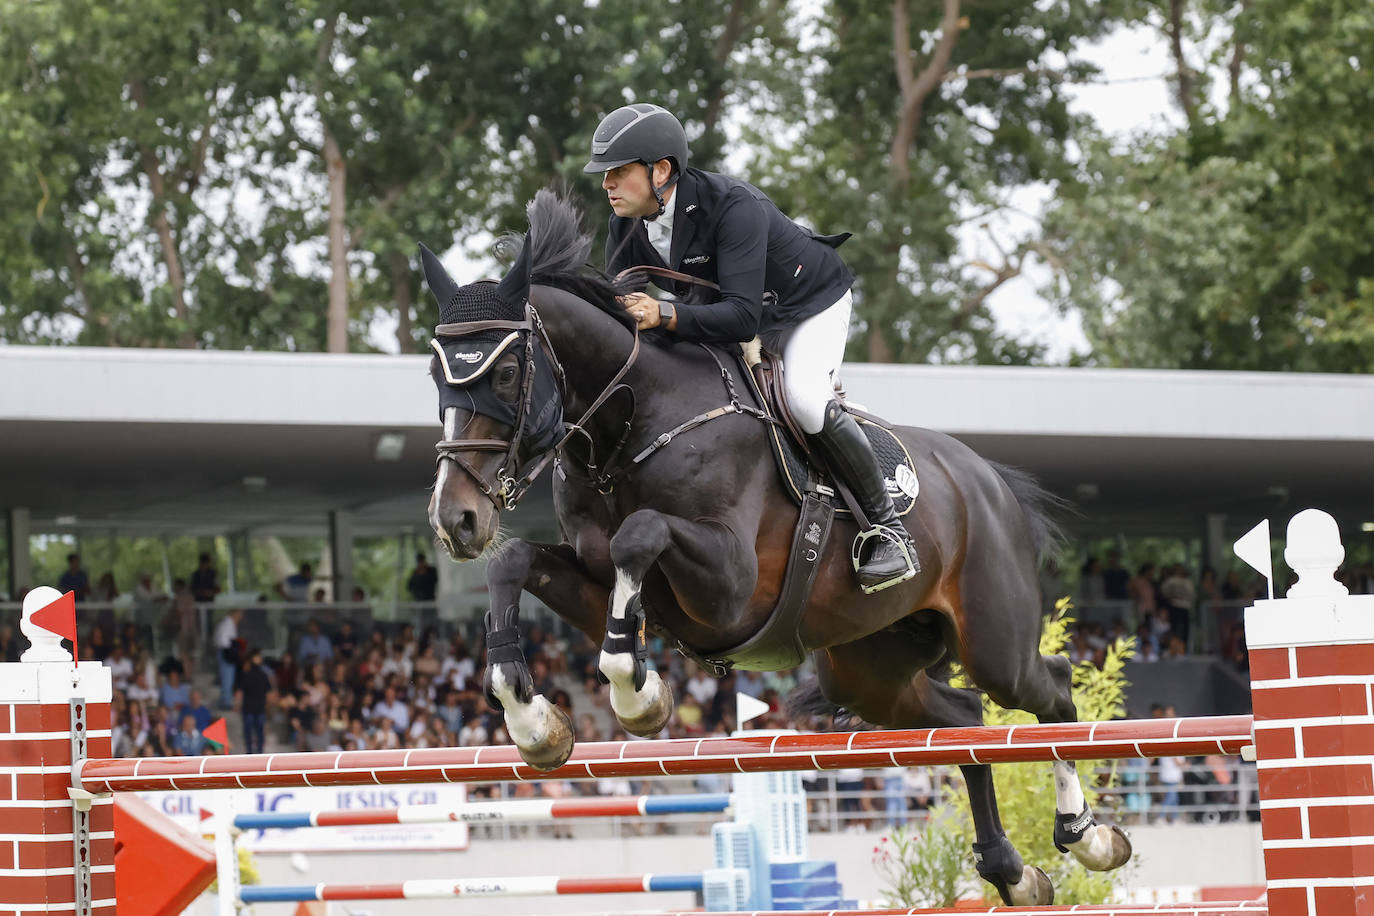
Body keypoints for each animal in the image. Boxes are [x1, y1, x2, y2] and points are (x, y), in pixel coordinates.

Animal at [417, 189, 1126, 906]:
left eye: (508, 371)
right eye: (434, 375)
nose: (456, 520)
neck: (630, 424)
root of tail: (990, 481)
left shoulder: (729, 587)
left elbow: (639, 535)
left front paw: (637, 697)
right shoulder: (598, 582)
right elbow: (517, 562)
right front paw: (534, 722)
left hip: (993, 641)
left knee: (1050, 687)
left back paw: (1087, 835)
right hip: (869, 667)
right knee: (962, 718)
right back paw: (1010, 868)